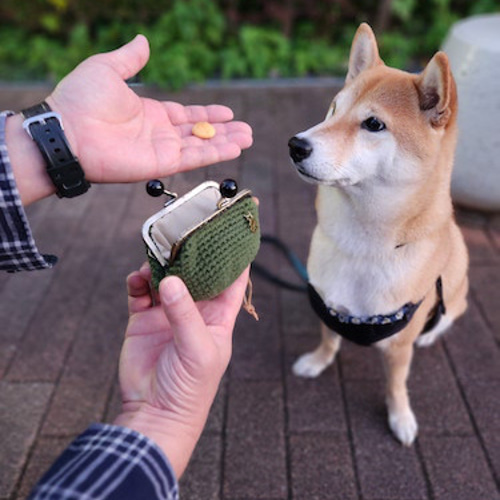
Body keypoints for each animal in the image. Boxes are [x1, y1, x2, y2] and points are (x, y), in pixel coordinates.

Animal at [290, 23, 468, 446]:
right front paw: (317, 362)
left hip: (457, 283)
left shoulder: (399, 347)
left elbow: (395, 384)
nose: (296, 145)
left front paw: (400, 416)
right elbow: (328, 339)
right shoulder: (328, 305)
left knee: (450, 315)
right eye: (334, 108)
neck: (361, 247)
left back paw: (431, 333)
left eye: (374, 124)